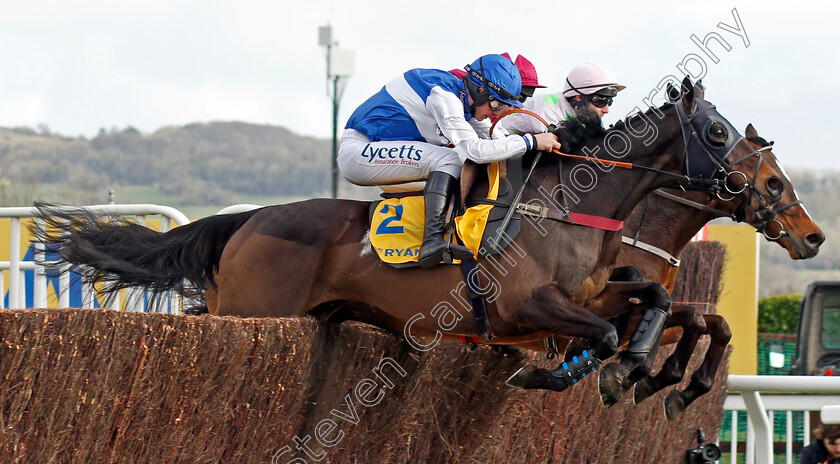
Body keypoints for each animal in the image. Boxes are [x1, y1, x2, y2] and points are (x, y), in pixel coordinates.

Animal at [34, 80, 812, 410]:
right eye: (718, 134)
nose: (812, 234)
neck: (574, 207)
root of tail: (246, 220)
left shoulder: (596, 293)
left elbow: (659, 305)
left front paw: (642, 375)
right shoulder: (525, 309)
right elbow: (607, 333)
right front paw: (586, 375)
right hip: (252, 313)